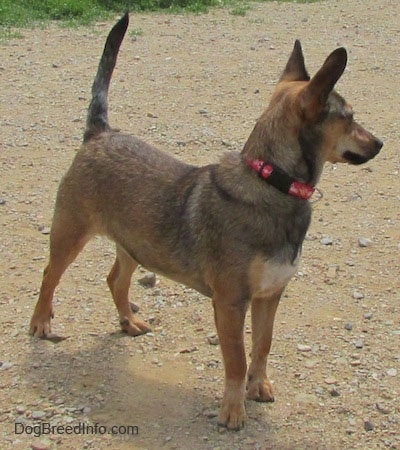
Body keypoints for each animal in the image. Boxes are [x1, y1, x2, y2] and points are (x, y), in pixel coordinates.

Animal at [29, 12, 382, 430]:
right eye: (350, 118)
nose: (380, 143)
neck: (270, 181)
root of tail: (100, 134)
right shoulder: (230, 304)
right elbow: (237, 359)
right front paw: (233, 409)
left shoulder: (270, 296)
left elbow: (263, 344)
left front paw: (258, 386)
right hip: (70, 234)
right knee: (49, 275)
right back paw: (41, 323)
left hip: (135, 245)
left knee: (116, 280)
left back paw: (128, 322)